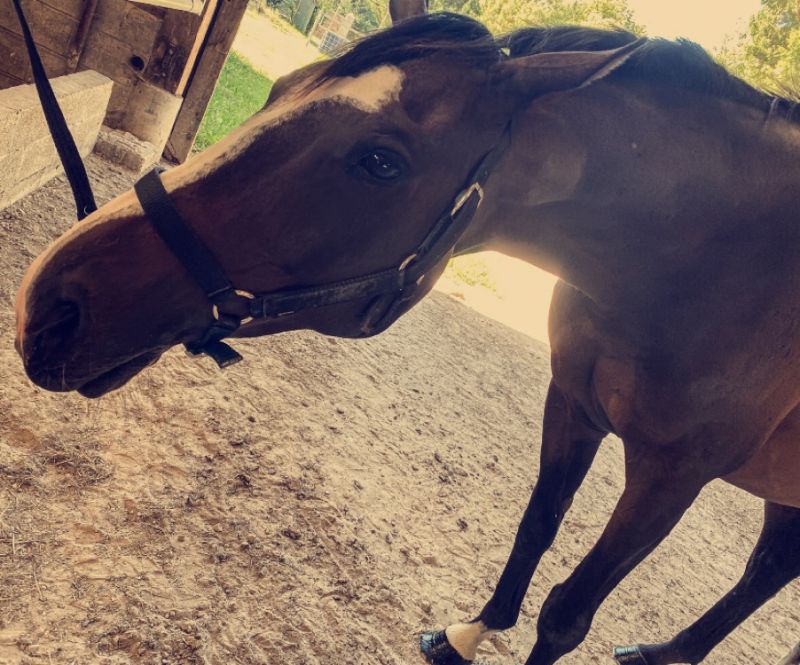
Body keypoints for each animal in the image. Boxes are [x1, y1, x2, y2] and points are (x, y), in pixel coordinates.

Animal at [10, 6, 800, 664]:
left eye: (381, 161)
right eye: (282, 87)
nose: (48, 304)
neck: (717, 260)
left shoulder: (672, 474)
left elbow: (566, 613)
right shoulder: (572, 404)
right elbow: (534, 530)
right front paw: (469, 632)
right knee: (769, 565)